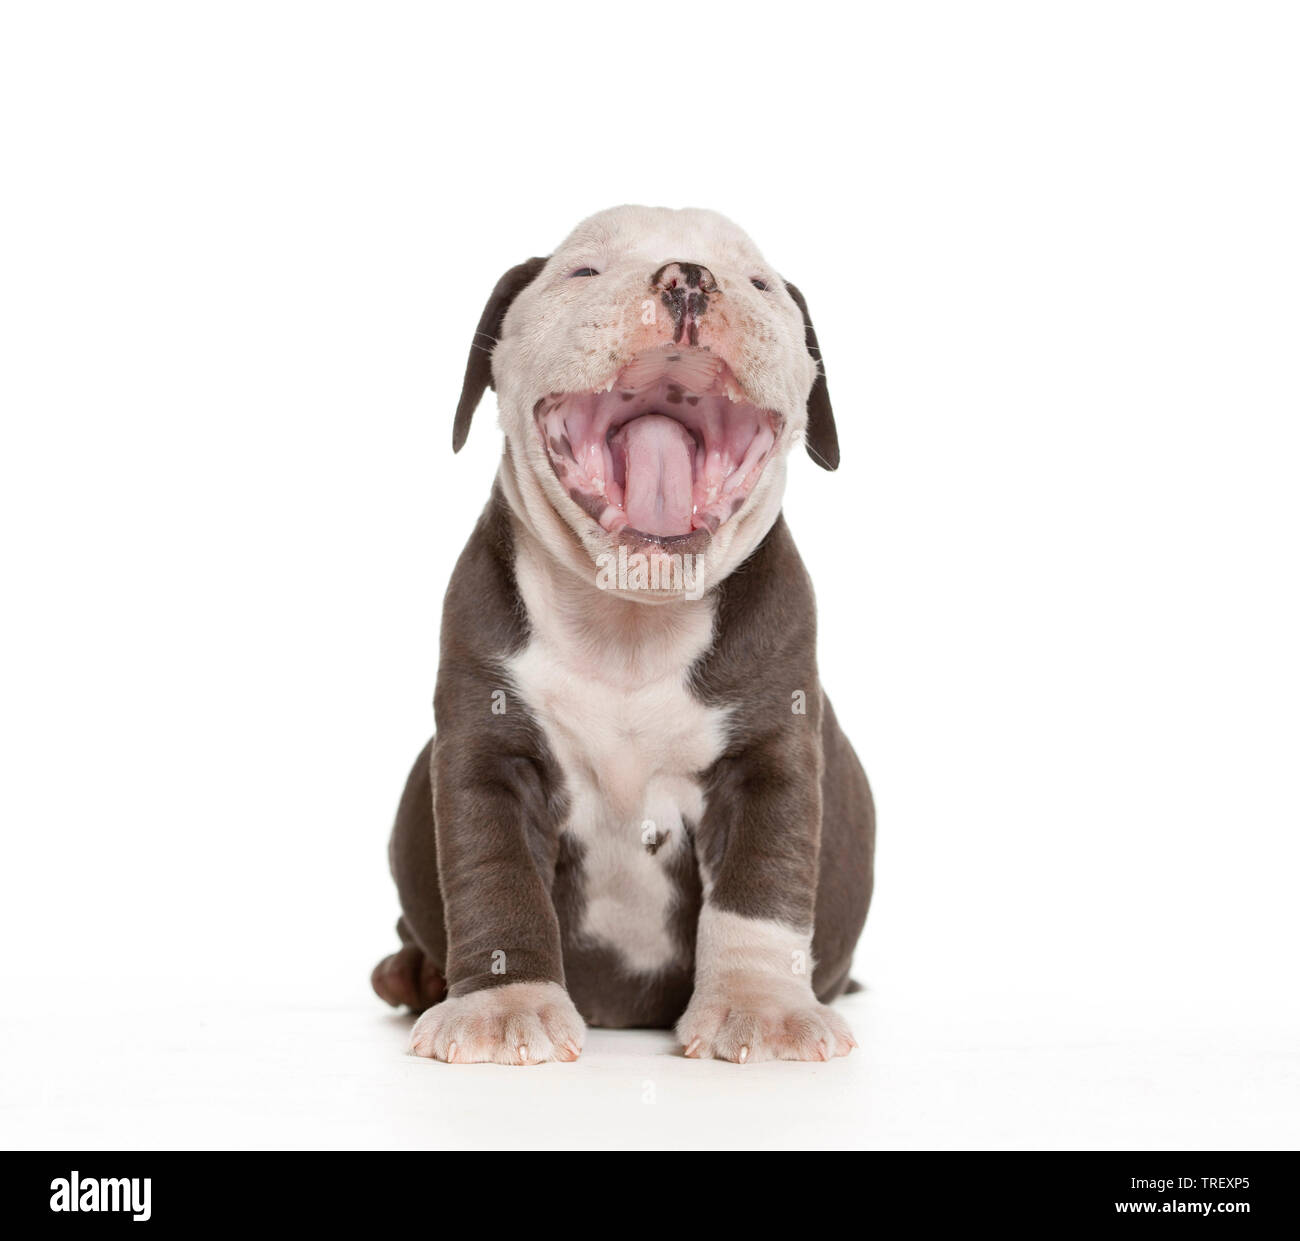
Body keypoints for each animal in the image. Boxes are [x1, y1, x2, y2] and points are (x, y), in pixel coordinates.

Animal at [374, 206, 873, 1065]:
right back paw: (413, 974)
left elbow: (762, 893)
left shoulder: (770, 752)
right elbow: (493, 879)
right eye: (584, 272)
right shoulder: (485, 747)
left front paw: (762, 1009)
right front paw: (503, 1007)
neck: (632, 622)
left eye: (758, 284)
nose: (688, 279)